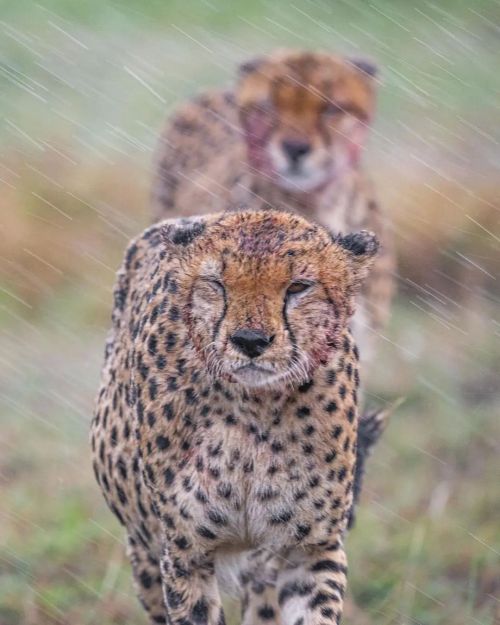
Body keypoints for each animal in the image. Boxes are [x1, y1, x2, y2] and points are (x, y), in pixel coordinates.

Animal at [91, 210, 378, 624]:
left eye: (298, 286)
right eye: (216, 284)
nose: (250, 341)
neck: (254, 407)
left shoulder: (311, 548)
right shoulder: (185, 552)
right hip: (144, 550)